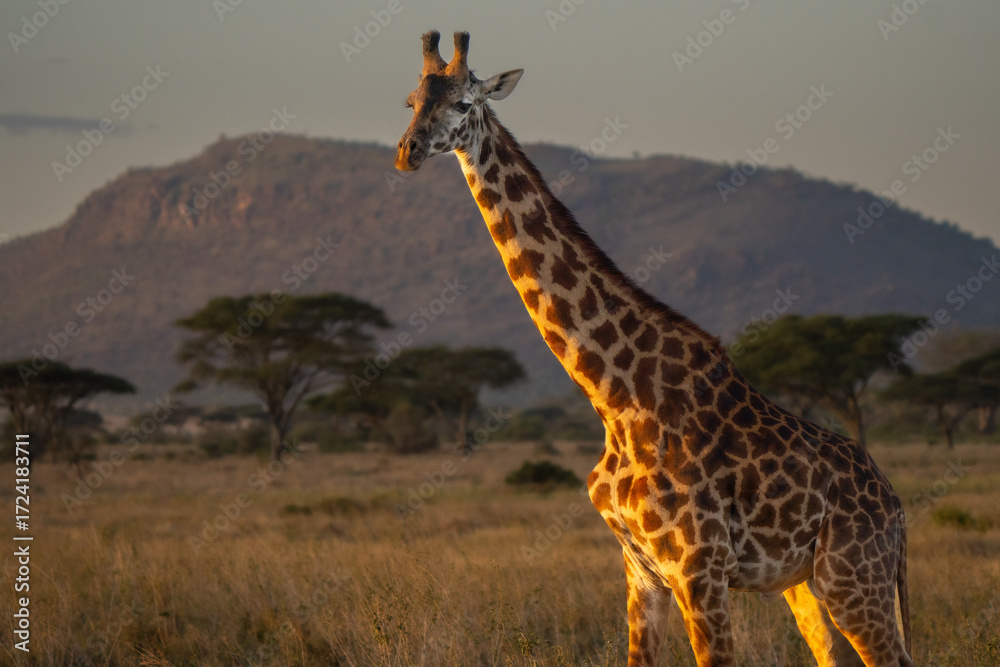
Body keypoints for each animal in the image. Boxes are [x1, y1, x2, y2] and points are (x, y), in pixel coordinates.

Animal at [394, 31, 913, 667]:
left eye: (465, 103)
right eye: (411, 101)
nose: (408, 152)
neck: (614, 398)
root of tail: (896, 506)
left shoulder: (699, 569)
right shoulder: (641, 568)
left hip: (854, 578)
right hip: (805, 584)